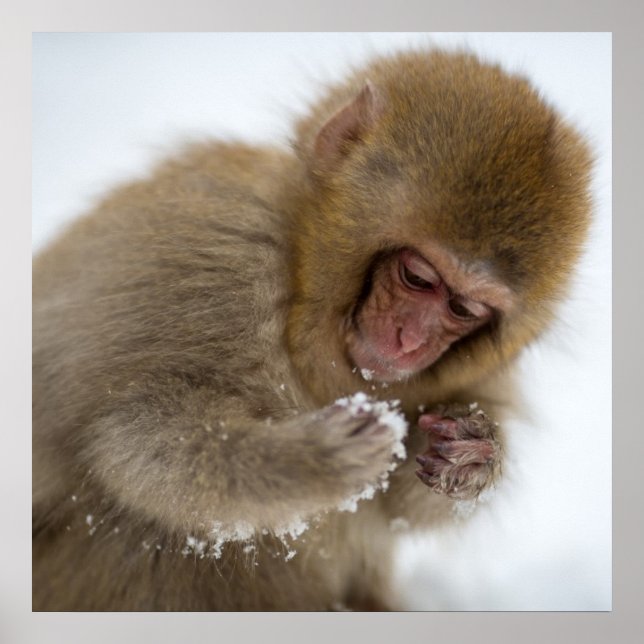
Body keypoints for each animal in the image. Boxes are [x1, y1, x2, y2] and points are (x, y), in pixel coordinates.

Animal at [32, 48, 593, 611]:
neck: (300, 283)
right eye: (417, 277)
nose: (410, 341)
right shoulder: (217, 263)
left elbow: (398, 507)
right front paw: (308, 461)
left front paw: (472, 455)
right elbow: (132, 438)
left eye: (464, 309)